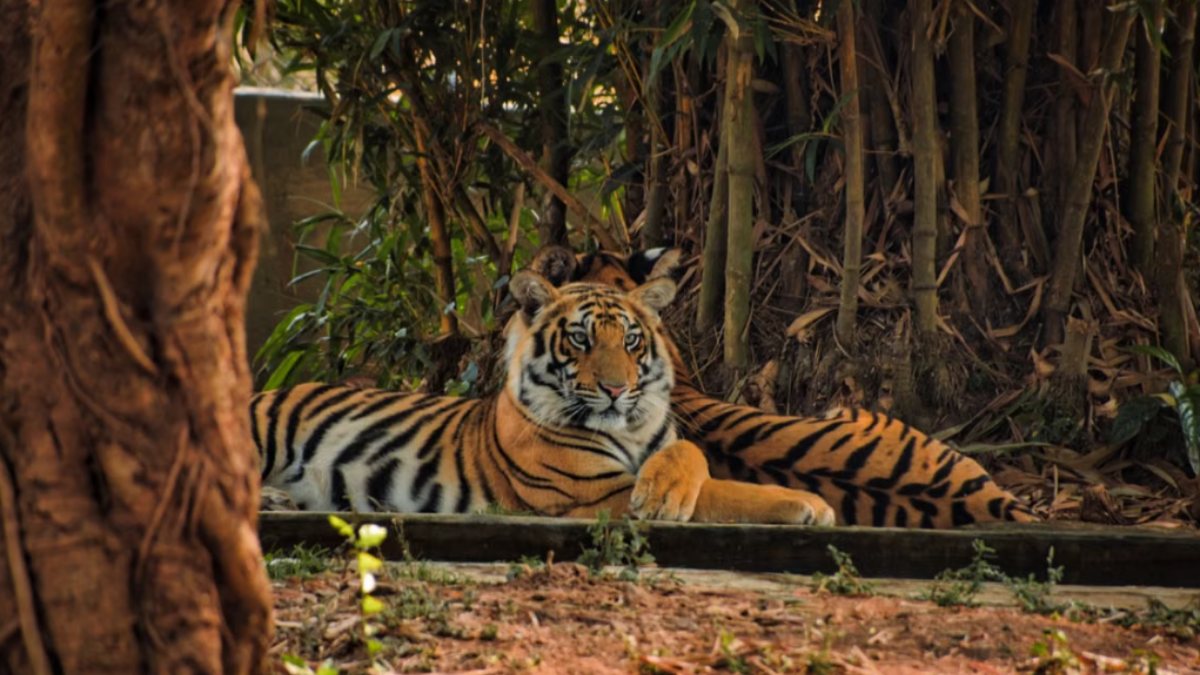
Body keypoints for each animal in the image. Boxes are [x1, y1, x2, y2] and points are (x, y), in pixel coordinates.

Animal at [253, 269, 837, 526]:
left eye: (630, 340)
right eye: (580, 339)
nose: (616, 389)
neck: (630, 430)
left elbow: (694, 458)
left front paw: (667, 489)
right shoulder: (596, 495)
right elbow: (725, 494)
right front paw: (810, 504)